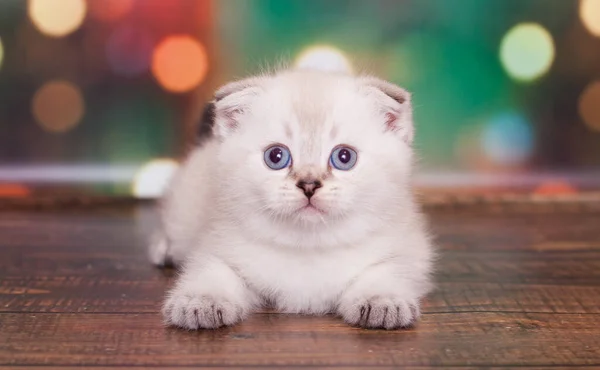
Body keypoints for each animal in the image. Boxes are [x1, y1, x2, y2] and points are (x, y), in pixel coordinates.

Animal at [148, 69, 434, 330]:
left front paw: (382, 300)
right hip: (182, 208)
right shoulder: (215, 244)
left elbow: (389, 269)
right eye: (276, 157)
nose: (308, 184)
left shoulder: (410, 249)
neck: (308, 246)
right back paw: (164, 252)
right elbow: (213, 271)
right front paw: (201, 301)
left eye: (344, 157)